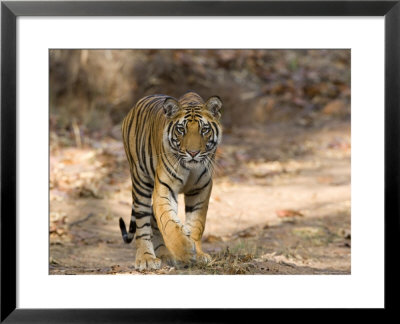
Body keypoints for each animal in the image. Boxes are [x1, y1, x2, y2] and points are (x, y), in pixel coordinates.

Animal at [119, 91, 223, 270]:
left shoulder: (201, 189)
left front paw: (198, 254)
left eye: (204, 129)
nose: (193, 153)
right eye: (181, 129)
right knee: (143, 223)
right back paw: (146, 258)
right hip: (141, 183)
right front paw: (185, 251)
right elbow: (168, 222)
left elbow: (197, 223)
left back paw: (165, 254)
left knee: (153, 218)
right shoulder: (164, 189)